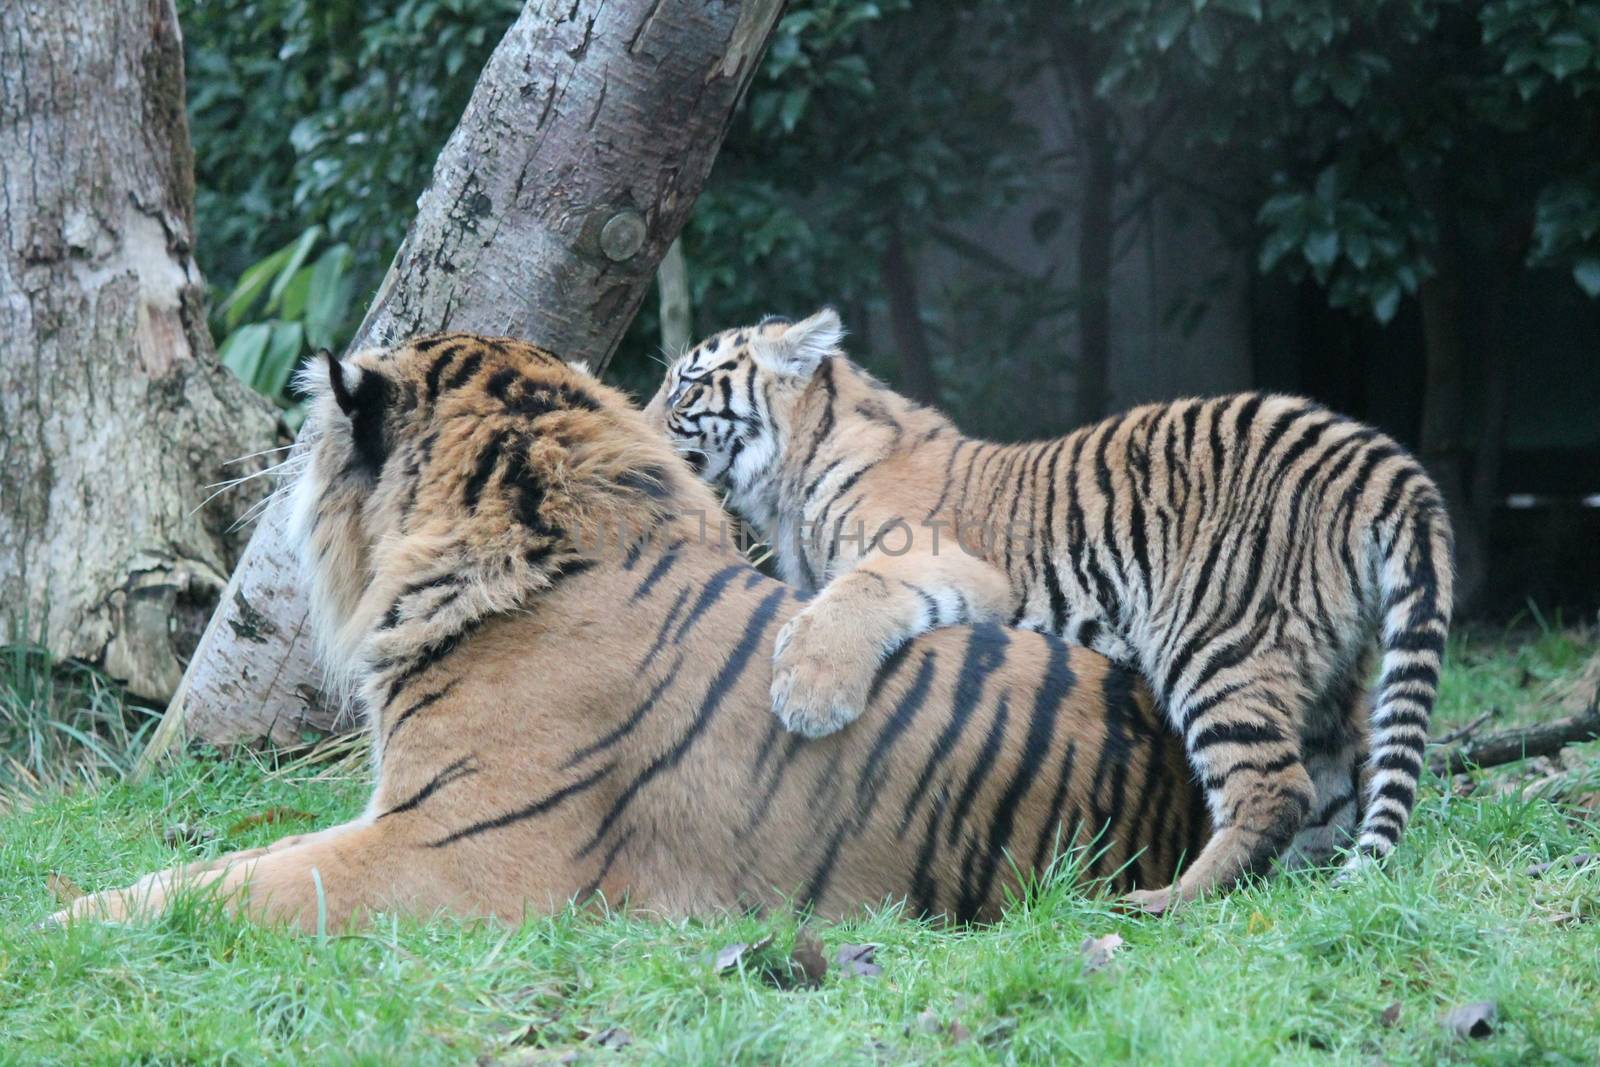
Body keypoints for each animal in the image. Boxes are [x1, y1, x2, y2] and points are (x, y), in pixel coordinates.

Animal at [643, 307, 1459, 908]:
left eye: (685, 389)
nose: (644, 429)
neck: (791, 474)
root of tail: (1375, 456)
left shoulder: (943, 560)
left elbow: (854, 594)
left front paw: (810, 693)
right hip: (1324, 673)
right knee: (1337, 789)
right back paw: (1299, 892)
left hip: (1212, 638)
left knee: (1273, 788)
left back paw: (1163, 904)